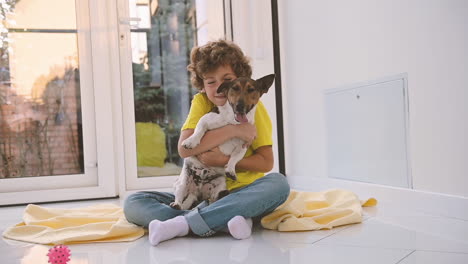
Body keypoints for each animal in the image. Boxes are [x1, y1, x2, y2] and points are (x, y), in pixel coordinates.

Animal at [170, 73, 274, 209]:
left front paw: (230, 169)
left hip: (220, 186)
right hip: (182, 183)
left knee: (213, 199)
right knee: (180, 197)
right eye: (234, 88)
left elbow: (235, 158)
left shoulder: (243, 146)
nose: (240, 106)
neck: (234, 122)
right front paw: (191, 141)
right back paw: (177, 204)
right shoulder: (206, 119)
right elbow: (199, 130)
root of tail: (196, 191)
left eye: (251, 89)